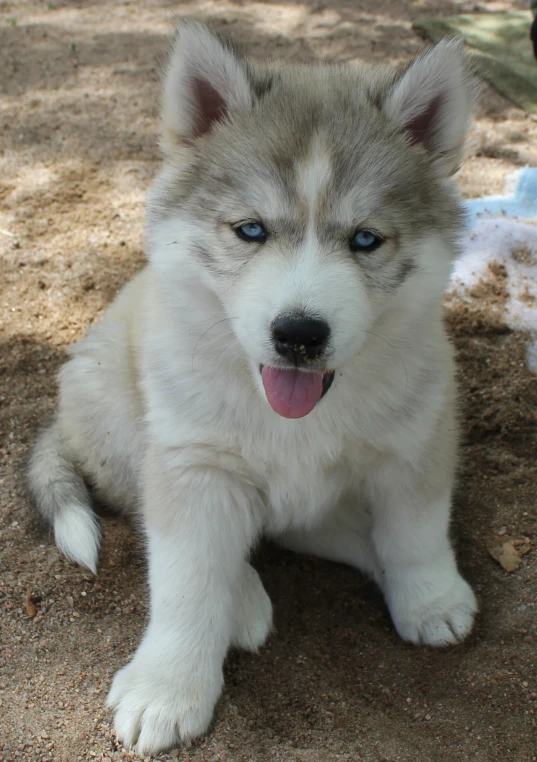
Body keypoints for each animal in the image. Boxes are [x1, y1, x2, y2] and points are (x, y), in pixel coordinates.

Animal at [26, 20, 478, 752]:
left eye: (365, 240)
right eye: (250, 230)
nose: (298, 334)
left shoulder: (415, 439)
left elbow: (415, 528)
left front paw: (429, 596)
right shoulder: (193, 464)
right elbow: (185, 580)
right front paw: (167, 688)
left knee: (318, 527)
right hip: (113, 406)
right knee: (163, 520)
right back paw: (239, 600)